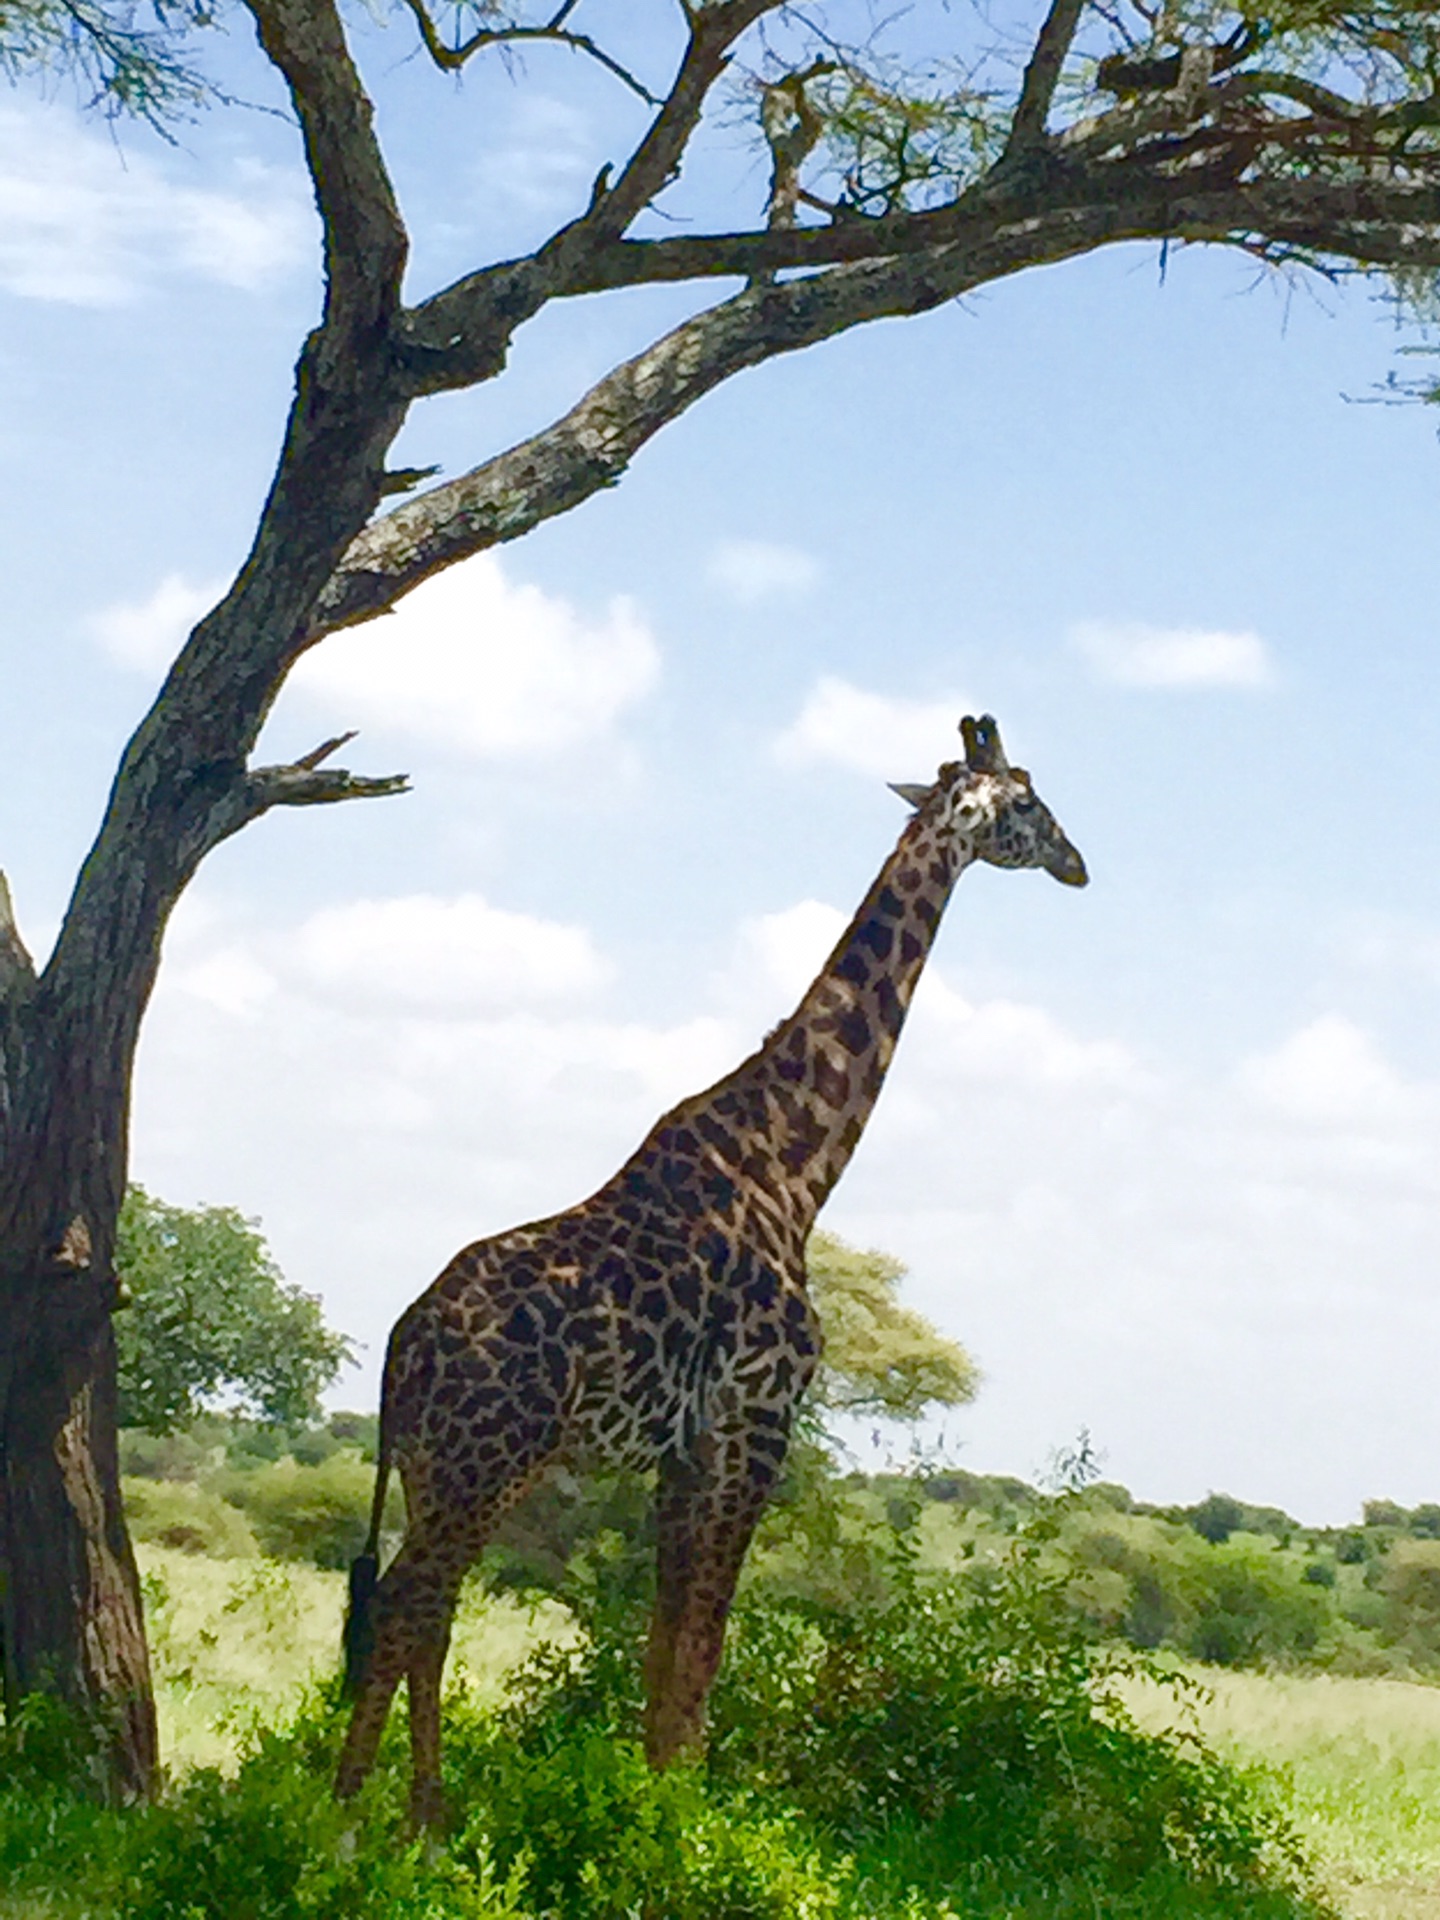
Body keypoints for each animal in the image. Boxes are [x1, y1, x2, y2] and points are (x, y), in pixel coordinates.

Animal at [336, 714, 1082, 1820]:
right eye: (1028, 800)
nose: (1080, 863)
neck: (791, 1166)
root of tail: (402, 1346)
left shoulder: (686, 1450)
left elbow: (662, 1653)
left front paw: (655, 1804)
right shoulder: (753, 1423)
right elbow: (703, 1649)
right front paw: (684, 1820)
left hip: (441, 1466)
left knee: (423, 1609)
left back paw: (414, 1818)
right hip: (488, 1457)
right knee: (406, 1603)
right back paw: (356, 1819)